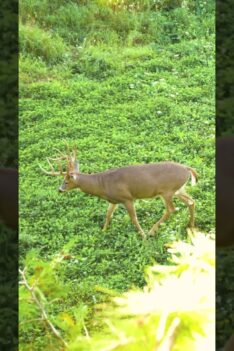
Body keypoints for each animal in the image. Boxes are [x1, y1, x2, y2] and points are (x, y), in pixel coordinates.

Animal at [38, 146, 197, 239]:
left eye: (66, 181)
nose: (59, 190)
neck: (102, 185)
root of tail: (188, 168)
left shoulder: (127, 197)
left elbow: (133, 218)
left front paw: (142, 235)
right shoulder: (113, 200)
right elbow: (108, 214)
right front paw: (103, 231)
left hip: (167, 191)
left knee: (171, 208)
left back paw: (152, 231)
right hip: (178, 189)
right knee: (191, 201)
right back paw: (190, 226)